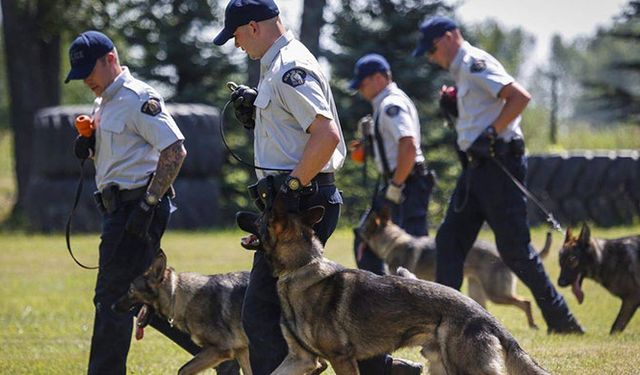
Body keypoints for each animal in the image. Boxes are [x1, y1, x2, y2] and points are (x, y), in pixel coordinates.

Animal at [111, 250, 251, 375]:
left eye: (131, 290)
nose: (112, 307)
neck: (176, 296)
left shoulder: (220, 350)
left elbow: (183, 369)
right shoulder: (242, 351)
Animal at [358, 209, 552, 328]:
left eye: (364, 228)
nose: (355, 231)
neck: (393, 241)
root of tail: (500, 255)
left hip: (495, 293)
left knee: (525, 302)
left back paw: (533, 325)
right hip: (477, 290)